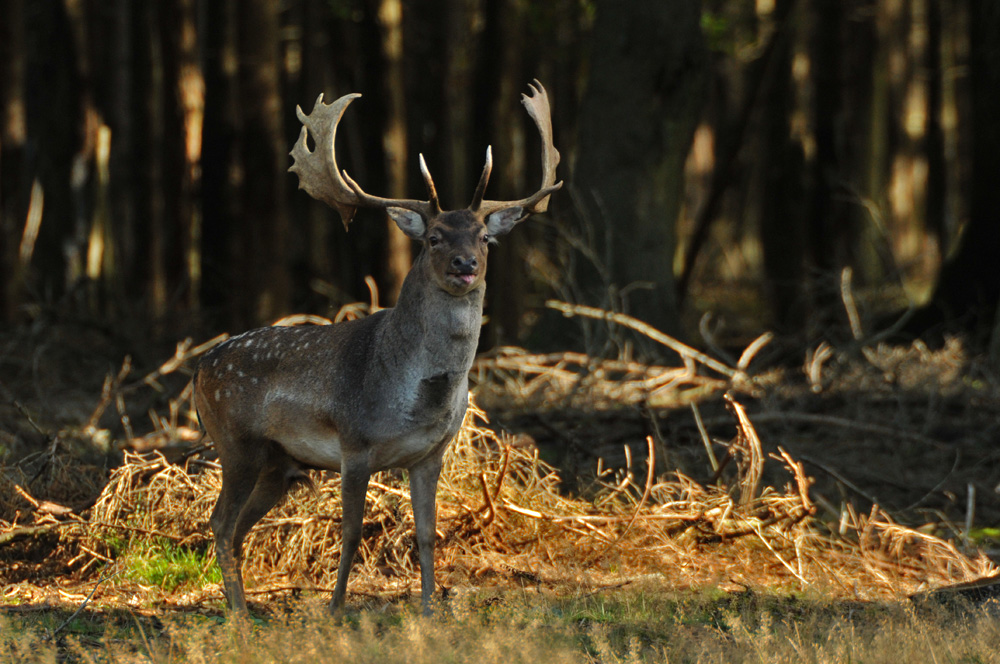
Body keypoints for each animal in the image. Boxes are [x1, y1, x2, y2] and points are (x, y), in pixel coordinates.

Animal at [191, 79, 560, 616]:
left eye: (485, 237)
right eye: (434, 238)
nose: (465, 264)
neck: (415, 397)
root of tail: (197, 370)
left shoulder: (431, 454)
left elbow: (427, 534)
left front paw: (429, 610)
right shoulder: (354, 441)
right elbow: (350, 532)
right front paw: (335, 609)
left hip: (277, 463)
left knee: (237, 527)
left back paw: (245, 609)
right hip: (235, 440)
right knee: (219, 521)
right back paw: (238, 614)